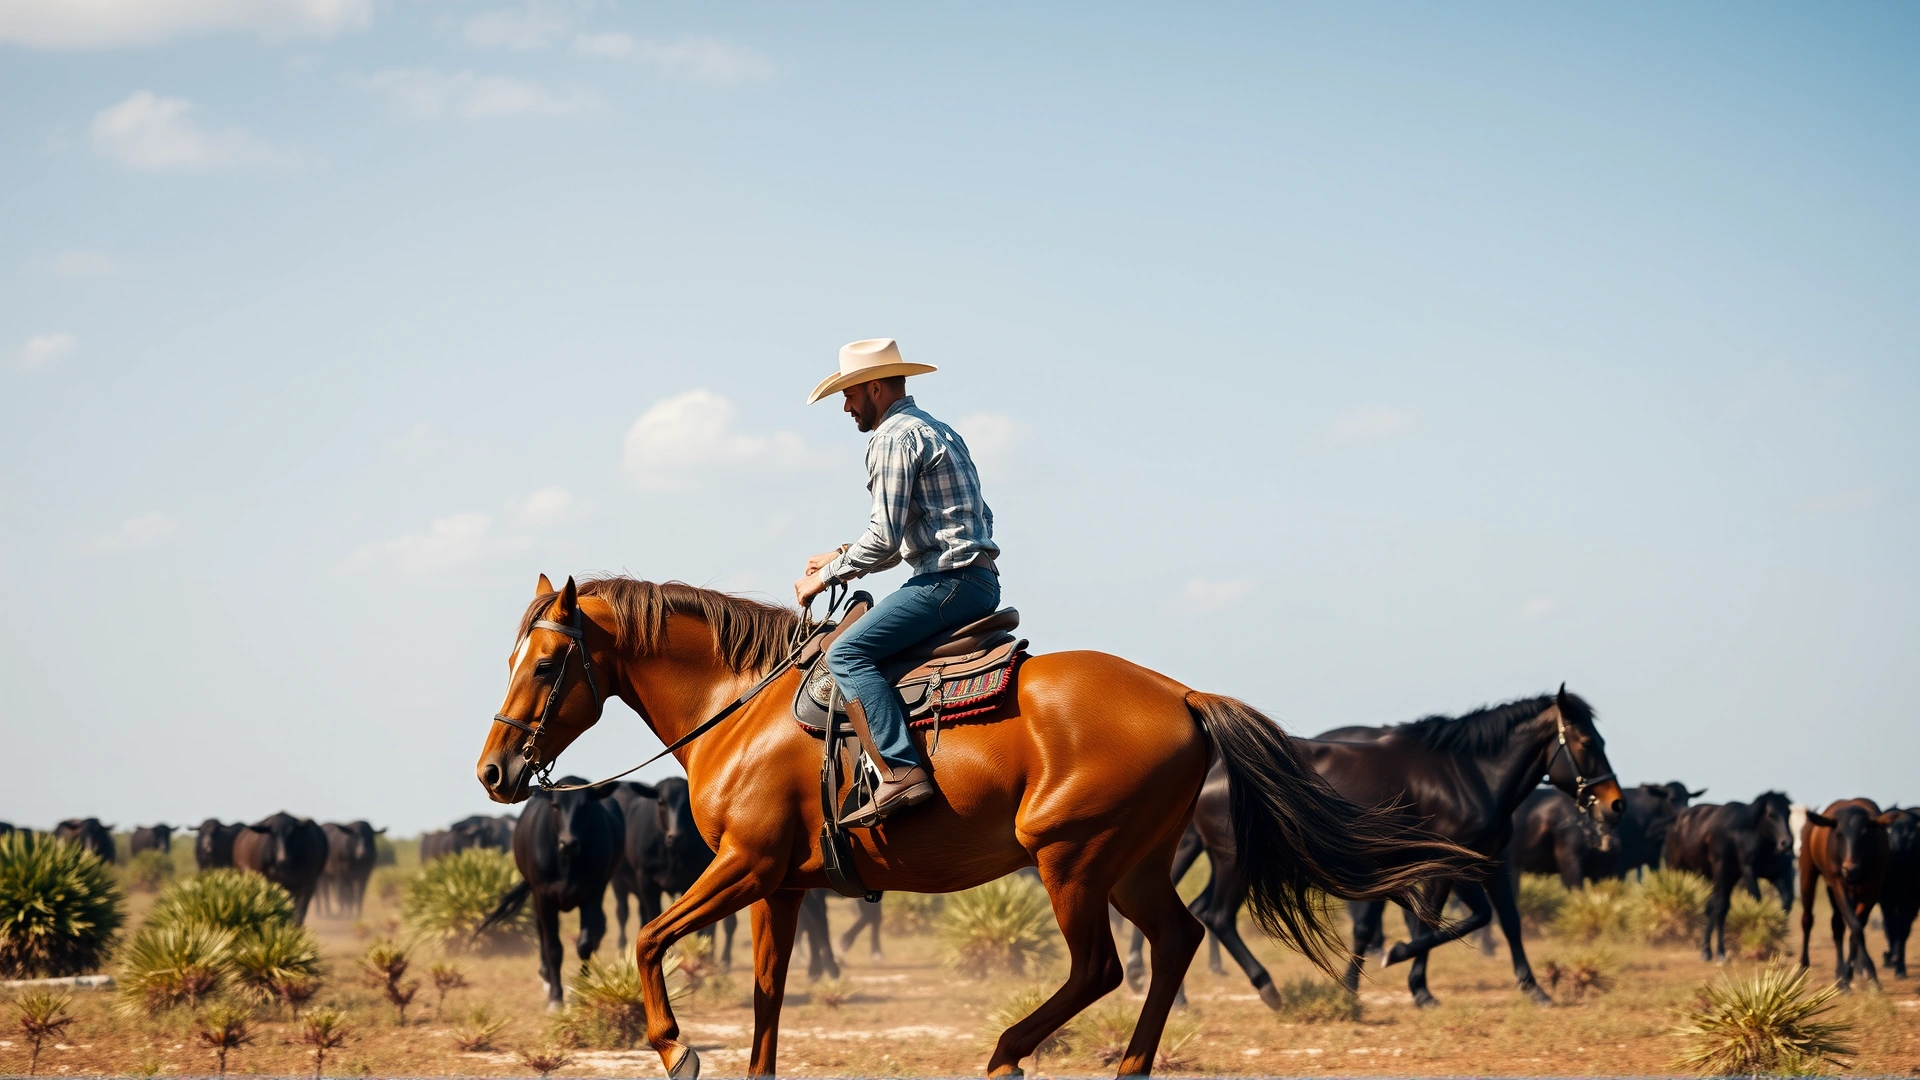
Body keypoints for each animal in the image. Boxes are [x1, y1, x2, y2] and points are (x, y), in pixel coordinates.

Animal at [477, 778, 625, 1009]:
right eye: (555, 805)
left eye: (585, 805)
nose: (568, 842)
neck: (567, 865)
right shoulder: (543, 897)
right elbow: (553, 948)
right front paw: (556, 998)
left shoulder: (593, 893)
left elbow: (585, 944)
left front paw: (582, 986)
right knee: (542, 934)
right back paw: (546, 976)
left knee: (598, 929)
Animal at [609, 780, 738, 965]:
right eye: (661, 802)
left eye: (687, 804)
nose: (675, 836)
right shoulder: (645, 880)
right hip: (619, 882)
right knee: (623, 912)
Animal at [1130, 689, 1623, 1008]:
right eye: (1586, 742)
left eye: (1601, 739)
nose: (1615, 804)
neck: (1469, 775)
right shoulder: (1447, 865)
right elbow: (1446, 920)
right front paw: (1409, 975)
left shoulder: (1490, 864)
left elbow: (1509, 922)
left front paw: (1534, 988)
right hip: (1232, 862)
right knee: (1216, 916)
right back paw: (1267, 990)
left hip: (1222, 861)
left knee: (1200, 913)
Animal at [1665, 791, 1797, 962]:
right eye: (1770, 814)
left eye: (1788, 812)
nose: (1786, 843)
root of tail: (1676, 823)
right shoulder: (1737, 870)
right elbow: (1739, 903)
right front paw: (1722, 952)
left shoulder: (1776, 874)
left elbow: (1785, 903)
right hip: (1678, 869)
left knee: (1711, 906)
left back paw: (1706, 950)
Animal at [1799, 798, 1905, 989]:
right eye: (1839, 834)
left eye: (1865, 833)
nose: (1850, 869)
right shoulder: (1839, 886)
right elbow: (1855, 927)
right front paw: (1867, 975)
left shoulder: (1872, 889)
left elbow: (1856, 929)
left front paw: (1852, 977)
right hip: (1807, 873)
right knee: (1807, 919)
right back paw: (1802, 968)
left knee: (1838, 926)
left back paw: (1839, 972)